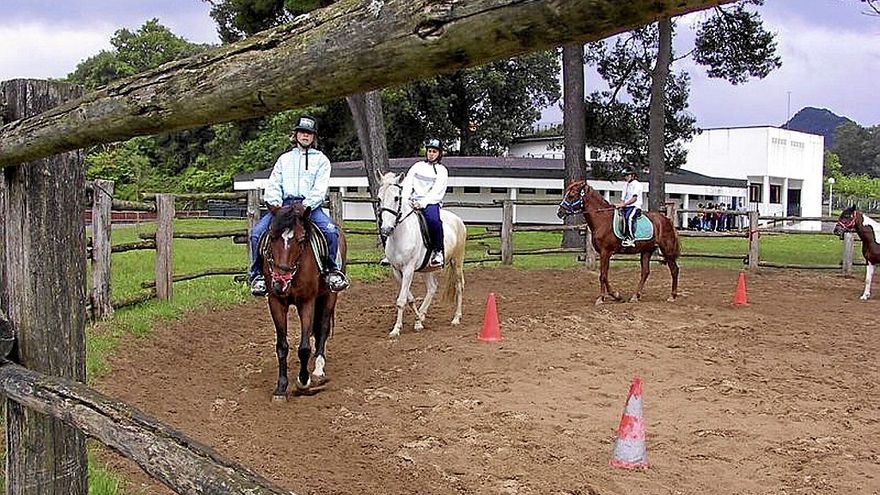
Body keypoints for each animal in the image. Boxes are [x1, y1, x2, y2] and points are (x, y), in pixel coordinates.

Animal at [260, 203, 346, 402]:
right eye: (272, 237)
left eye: (300, 240)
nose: (280, 282)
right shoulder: (276, 302)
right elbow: (282, 346)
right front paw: (280, 388)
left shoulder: (307, 302)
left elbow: (305, 347)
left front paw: (303, 381)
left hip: (330, 296)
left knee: (323, 329)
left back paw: (318, 370)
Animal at [376, 172, 468, 340]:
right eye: (379, 198)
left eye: (397, 198)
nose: (386, 229)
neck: (400, 234)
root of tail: (458, 220)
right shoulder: (397, 271)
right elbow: (409, 298)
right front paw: (418, 320)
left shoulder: (408, 269)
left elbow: (401, 300)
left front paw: (396, 330)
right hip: (427, 268)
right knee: (432, 288)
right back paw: (422, 316)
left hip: (456, 261)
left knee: (459, 286)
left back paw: (456, 318)